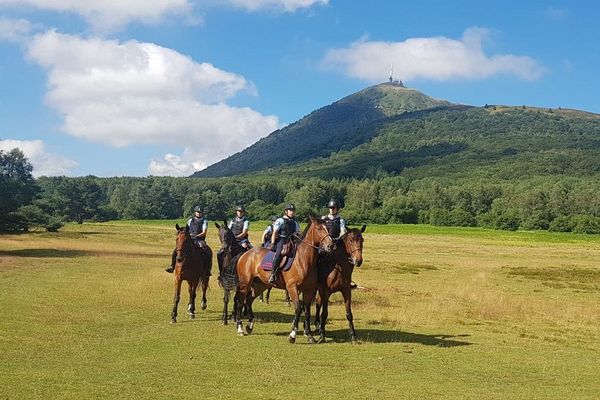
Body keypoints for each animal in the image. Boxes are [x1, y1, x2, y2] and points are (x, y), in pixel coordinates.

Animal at [232, 216, 332, 344]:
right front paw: (292, 335)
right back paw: (240, 328)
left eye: (327, 228)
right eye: (319, 228)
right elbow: (298, 308)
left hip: (260, 285)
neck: (303, 260)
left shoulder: (308, 290)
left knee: (248, 300)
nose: (330, 245)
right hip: (245, 284)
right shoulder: (292, 287)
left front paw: (310, 336)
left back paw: (250, 326)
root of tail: (245, 254)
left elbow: (307, 311)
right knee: (240, 302)